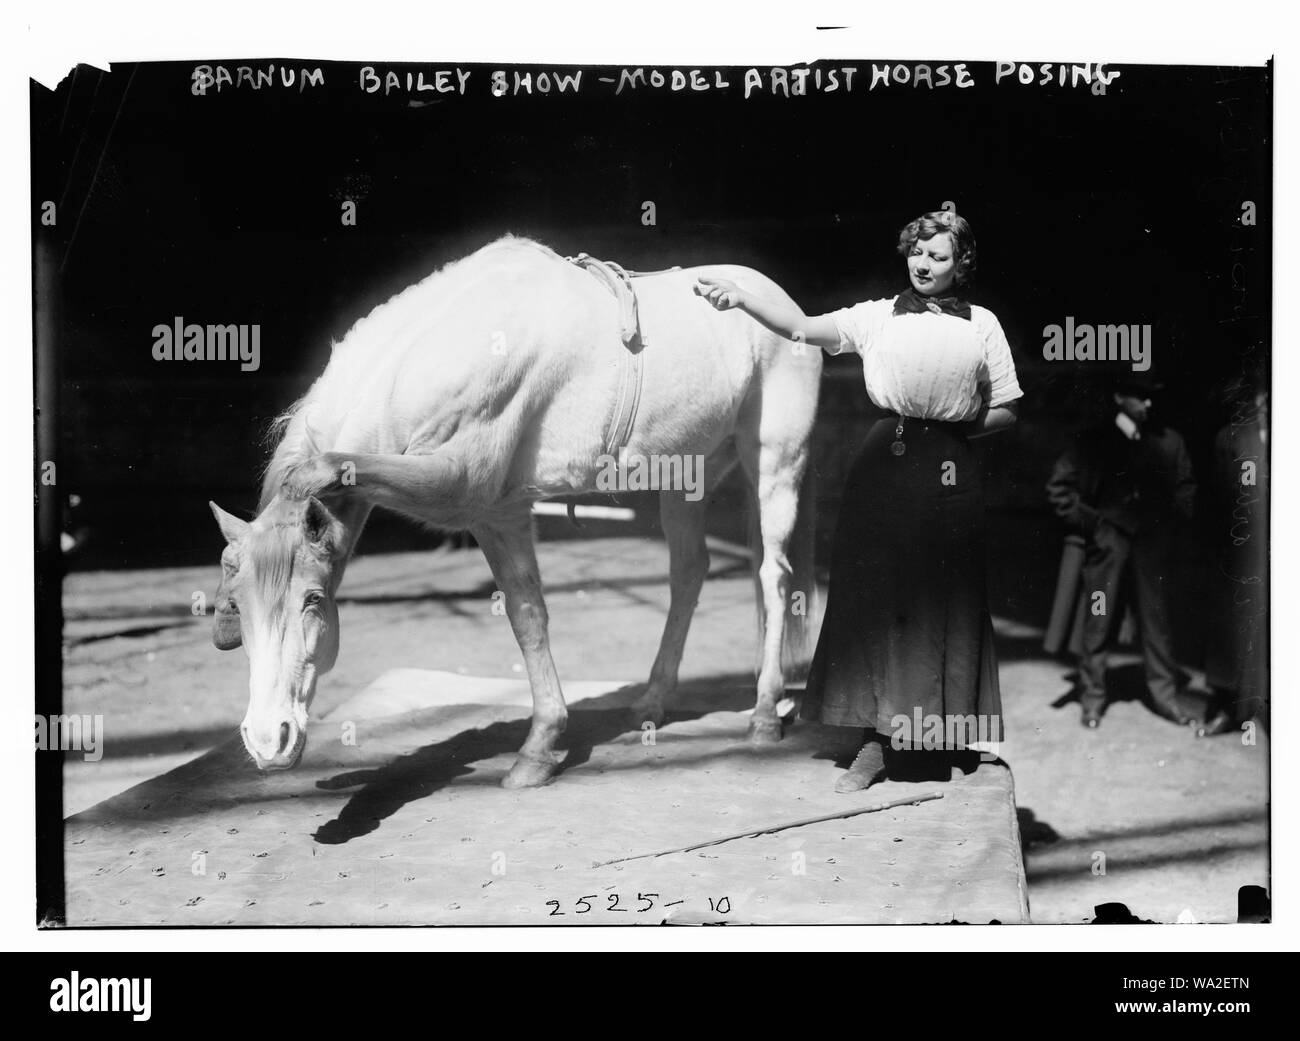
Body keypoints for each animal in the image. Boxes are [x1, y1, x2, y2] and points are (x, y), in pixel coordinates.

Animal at [213, 235, 821, 790]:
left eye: (313, 599)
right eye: (238, 604)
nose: (268, 741)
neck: (456, 346)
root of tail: (784, 303)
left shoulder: (463, 484)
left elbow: (334, 467)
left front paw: (537, 750)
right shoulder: (496, 515)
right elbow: (527, 617)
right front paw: (541, 748)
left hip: (776, 463)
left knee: (773, 575)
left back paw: (763, 715)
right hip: (684, 481)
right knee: (689, 573)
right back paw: (653, 699)